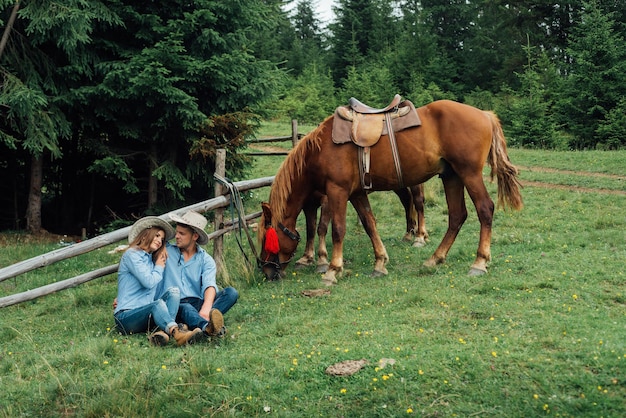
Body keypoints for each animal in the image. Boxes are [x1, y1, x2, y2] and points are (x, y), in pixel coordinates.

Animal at [294, 186, 426, 274]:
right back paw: (409, 234)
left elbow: (321, 228)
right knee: (407, 200)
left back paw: (419, 238)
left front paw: (321, 262)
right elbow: (310, 230)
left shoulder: (327, 200)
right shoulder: (309, 204)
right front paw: (306, 258)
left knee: (418, 201)